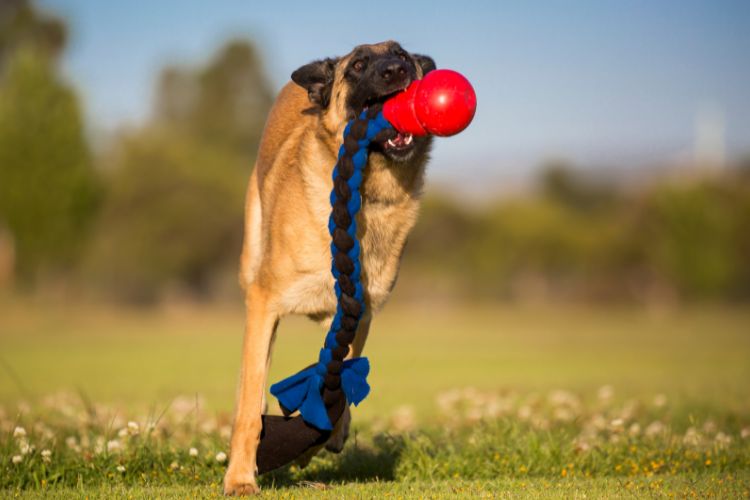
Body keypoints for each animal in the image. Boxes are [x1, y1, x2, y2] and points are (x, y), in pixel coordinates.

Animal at [222, 41, 434, 494]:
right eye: (359, 65)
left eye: (401, 53)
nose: (396, 71)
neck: (365, 194)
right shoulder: (265, 304)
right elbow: (250, 401)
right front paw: (241, 477)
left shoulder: (360, 310)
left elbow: (341, 374)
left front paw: (325, 433)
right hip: (253, 274)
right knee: (251, 382)